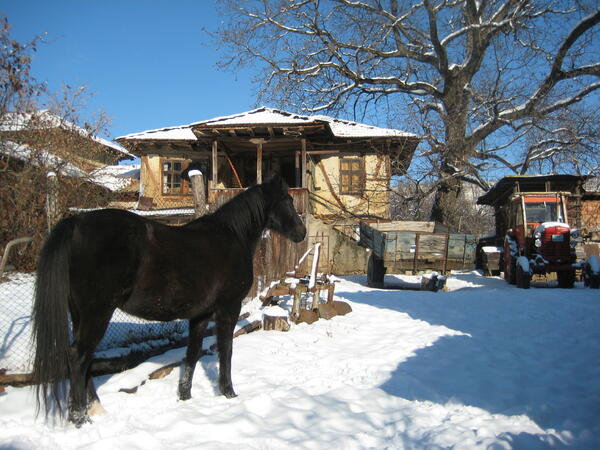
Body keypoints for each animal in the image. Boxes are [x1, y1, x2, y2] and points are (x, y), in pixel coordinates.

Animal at [32, 176, 304, 426]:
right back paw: (80, 418)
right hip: (97, 314)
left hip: (79, 314)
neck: (232, 236)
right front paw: (229, 393)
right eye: (286, 200)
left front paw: (185, 397)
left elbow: (192, 353)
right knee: (78, 358)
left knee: (84, 359)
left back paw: (95, 410)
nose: (301, 232)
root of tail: (77, 223)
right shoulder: (229, 307)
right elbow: (226, 350)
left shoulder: (201, 314)